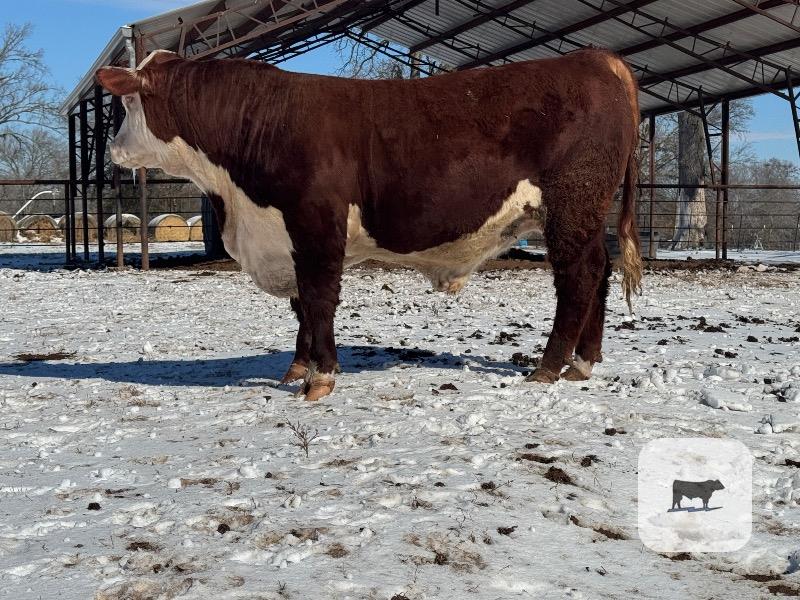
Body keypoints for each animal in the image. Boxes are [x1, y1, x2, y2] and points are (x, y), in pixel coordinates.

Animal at [96, 47, 642, 401]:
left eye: (127, 102)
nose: (112, 149)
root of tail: (598, 58)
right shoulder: (290, 237)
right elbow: (302, 304)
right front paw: (298, 367)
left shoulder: (316, 223)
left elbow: (318, 297)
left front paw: (321, 378)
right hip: (586, 214)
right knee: (599, 270)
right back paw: (583, 362)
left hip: (571, 205)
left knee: (577, 278)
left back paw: (549, 367)